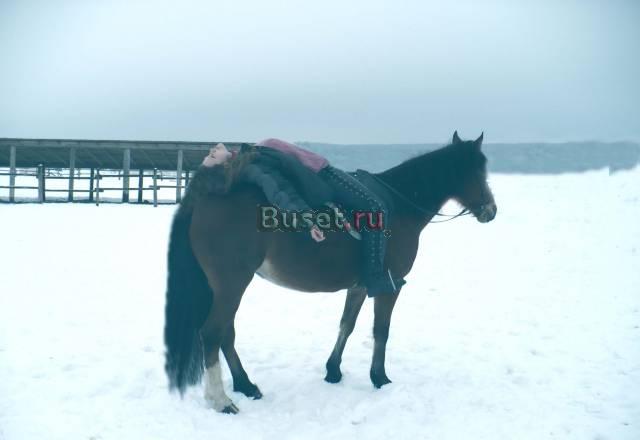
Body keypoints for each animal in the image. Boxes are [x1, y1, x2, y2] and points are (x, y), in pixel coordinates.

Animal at [164, 131, 497, 413]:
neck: (401, 205)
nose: (491, 211)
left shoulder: (359, 286)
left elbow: (346, 324)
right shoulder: (391, 285)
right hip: (232, 283)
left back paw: (246, 385)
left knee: (226, 334)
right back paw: (221, 400)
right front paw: (380, 378)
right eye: (478, 172)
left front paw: (333, 370)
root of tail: (204, 198)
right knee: (213, 333)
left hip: (224, 286)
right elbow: (381, 330)